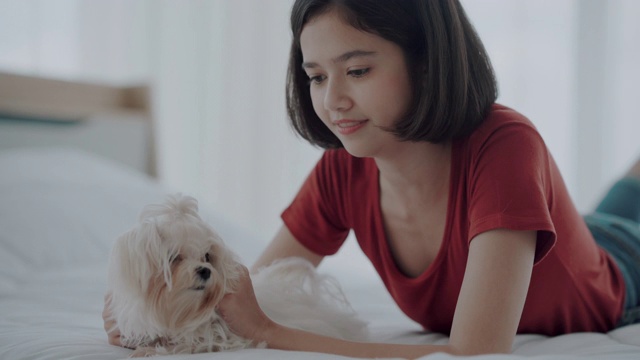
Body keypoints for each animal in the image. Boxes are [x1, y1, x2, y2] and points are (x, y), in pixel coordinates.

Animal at [105, 193, 364, 356]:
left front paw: (150, 351)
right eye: (173, 257)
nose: (205, 271)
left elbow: (193, 343)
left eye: (207, 256)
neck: (181, 314)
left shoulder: (225, 336)